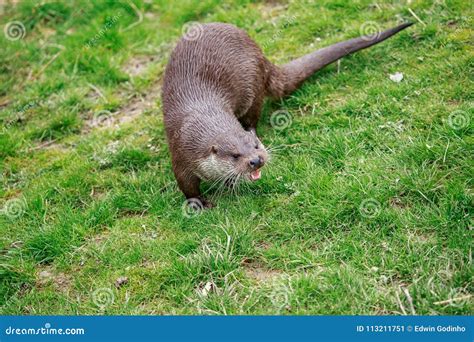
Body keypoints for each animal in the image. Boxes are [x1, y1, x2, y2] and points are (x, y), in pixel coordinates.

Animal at [161, 22, 412, 208]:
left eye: (255, 145)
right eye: (234, 155)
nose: (256, 160)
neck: (202, 119)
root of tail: (260, 56)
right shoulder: (181, 154)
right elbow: (187, 186)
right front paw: (200, 203)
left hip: (253, 84)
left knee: (253, 115)